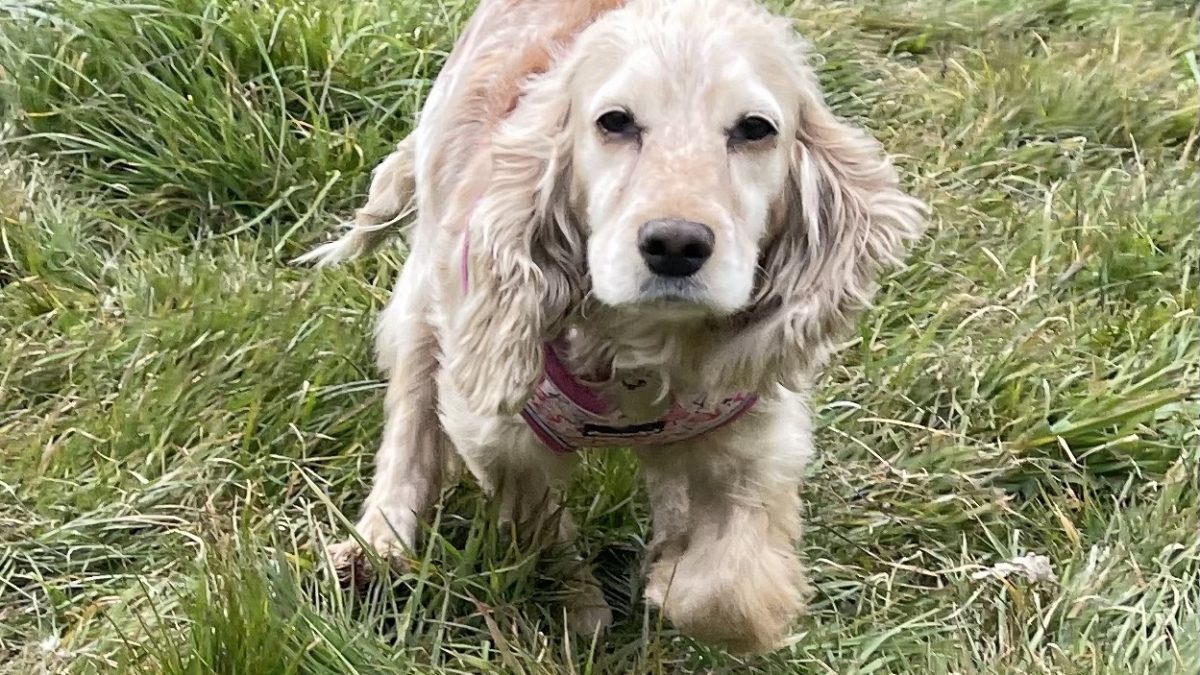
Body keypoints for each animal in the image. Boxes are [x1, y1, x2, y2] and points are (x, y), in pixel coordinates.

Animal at [297, 0, 926, 653]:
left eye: (756, 129)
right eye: (615, 122)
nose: (676, 244)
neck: (641, 352)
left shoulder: (756, 435)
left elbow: (728, 587)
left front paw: (673, 576)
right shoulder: (495, 426)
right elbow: (543, 522)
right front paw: (581, 609)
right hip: (427, 291)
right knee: (411, 420)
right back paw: (376, 547)